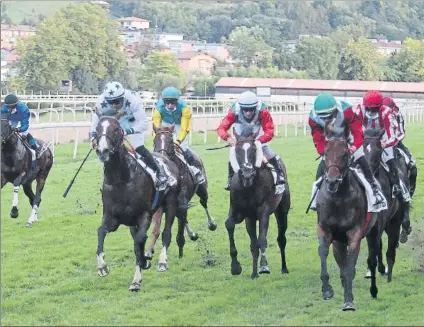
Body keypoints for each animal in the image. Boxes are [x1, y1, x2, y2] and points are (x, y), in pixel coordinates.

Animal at [224, 131, 290, 280]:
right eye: (237, 150)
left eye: (254, 150)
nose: (247, 174)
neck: (248, 188)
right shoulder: (240, 211)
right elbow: (229, 224)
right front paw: (235, 267)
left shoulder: (263, 211)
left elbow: (262, 240)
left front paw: (264, 266)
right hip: (251, 219)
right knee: (253, 245)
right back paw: (254, 273)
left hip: (282, 211)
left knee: (281, 239)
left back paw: (284, 268)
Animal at [316, 121, 382, 312]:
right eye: (325, 153)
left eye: (345, 154)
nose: (332, 181)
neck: (338, 198)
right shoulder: (325, 228)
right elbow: (323, 252)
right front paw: (327, 289)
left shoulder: (355, 233)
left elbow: (350, 264)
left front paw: (349, 300)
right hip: (339, 240)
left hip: (373, 231)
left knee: (373, 254)